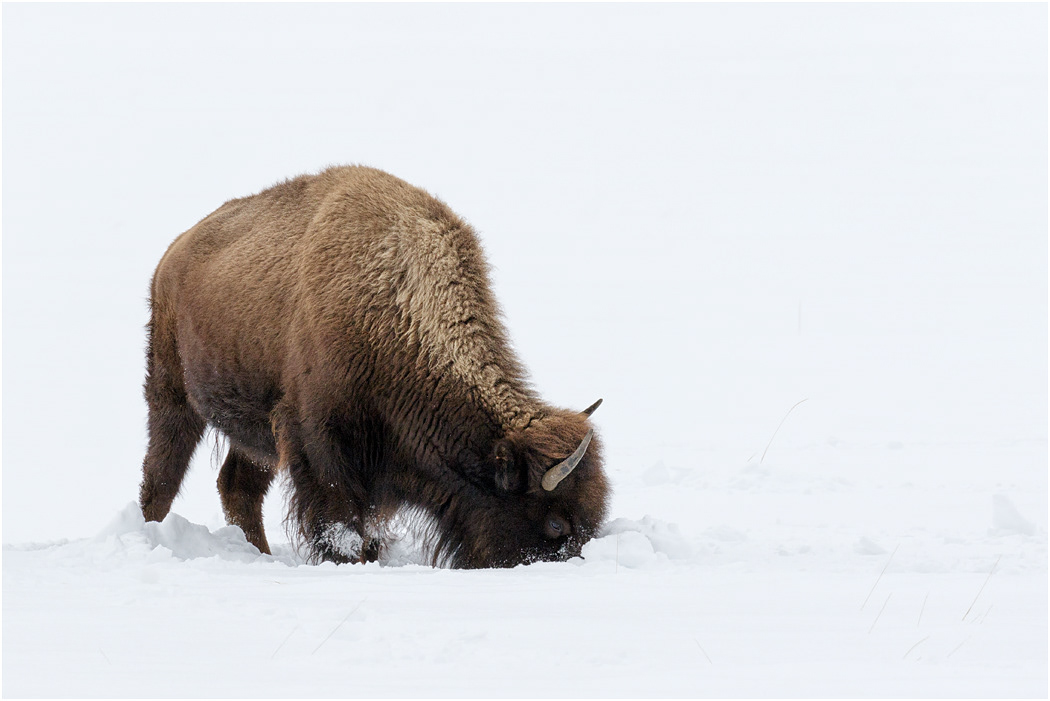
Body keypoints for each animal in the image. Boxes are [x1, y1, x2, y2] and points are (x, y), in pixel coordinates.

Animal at [138, 166, 609, 568]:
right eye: (555, 524)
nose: (570, 562)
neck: (395, 306)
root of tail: (170, 256)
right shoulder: (319, 440)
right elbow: (341, 526)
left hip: (254, 432)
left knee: (237, 486)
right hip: (171, 395)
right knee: (161, 477)